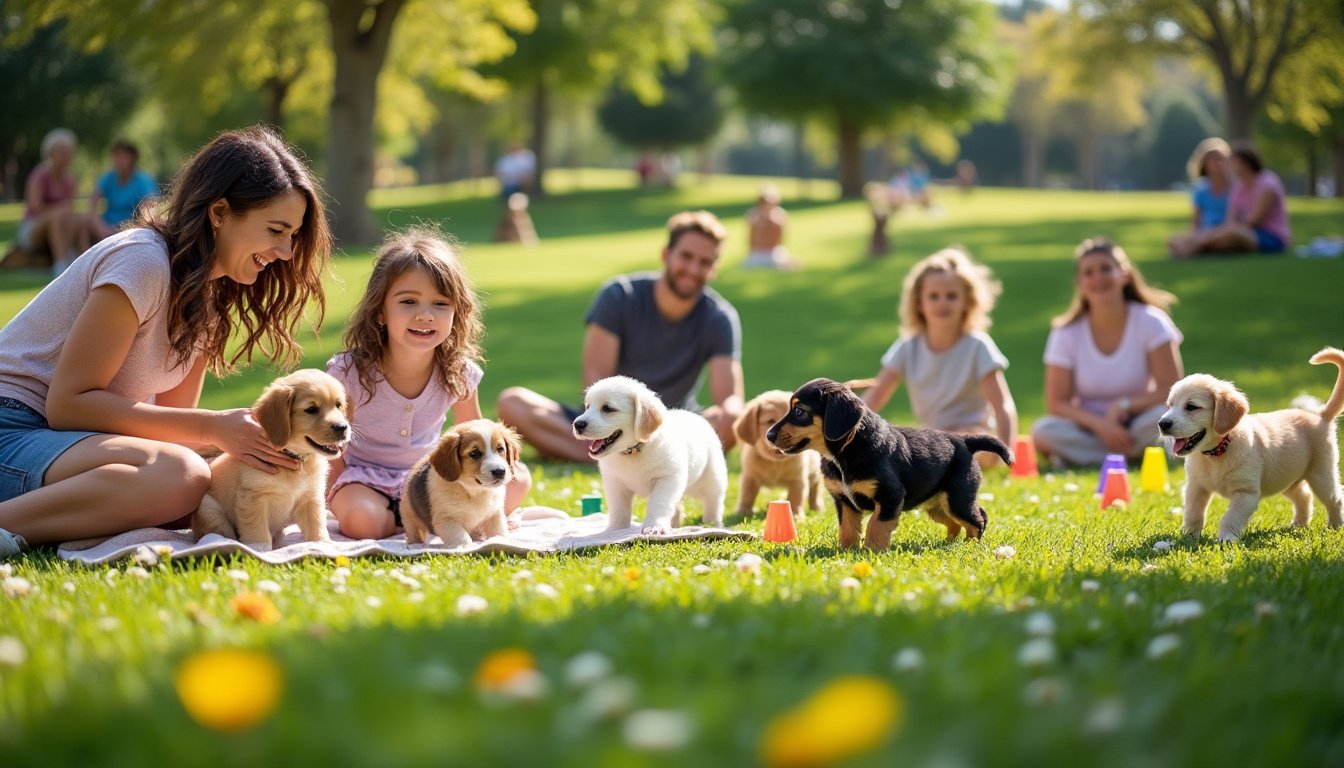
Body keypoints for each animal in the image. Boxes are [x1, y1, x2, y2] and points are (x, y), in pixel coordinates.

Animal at [194, 368, 354, 548]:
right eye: (311, 409)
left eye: (338, 405)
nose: (342, 427)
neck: (296, 459)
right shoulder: (253, 497)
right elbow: (258, 532)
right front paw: (260, 549)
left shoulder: (310, 497)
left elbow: (316, 525)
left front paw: (322, 544)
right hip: (209, 510)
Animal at [572, 373, 731, 532]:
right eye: (587, 407)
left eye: (608, 408)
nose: (577, 424)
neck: (633, 451)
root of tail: (694, 415)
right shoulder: (615, 484)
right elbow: (619, 510)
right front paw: (614, 530)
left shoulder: (667, 479)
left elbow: (659, 504)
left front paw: (655, 526)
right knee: (678, 506)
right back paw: (675, 524)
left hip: (712, 479)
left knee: (714, 502)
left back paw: (713, 524)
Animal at [768, 376, 1010, 546]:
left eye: (799, 411)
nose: (768, 435)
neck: (844, 453)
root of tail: (964, 441)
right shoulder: (843, 500)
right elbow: (847, 528)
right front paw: (846, 551)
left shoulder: (890, 496)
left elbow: (876, 525)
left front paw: (871, 553)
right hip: (937, 503)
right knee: (957, 522)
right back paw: (949, 543)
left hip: (957, 498)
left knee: (978, 518)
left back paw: (969, 546)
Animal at [1155, 347, 1344, 540]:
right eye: (1170, 405)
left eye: (1191, 406)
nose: (1162, 424)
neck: (1217, 452)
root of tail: (1320, 415)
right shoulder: (1195, 487)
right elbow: (1193, 513)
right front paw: (1189, 536)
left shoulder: (1245, 492)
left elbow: (1230, 517)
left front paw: (1226, 538)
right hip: (1287, 478)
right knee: (1304, 496)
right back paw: (1298, 525)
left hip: (1321, 475)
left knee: (1335, 498)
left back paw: (1334, 526)